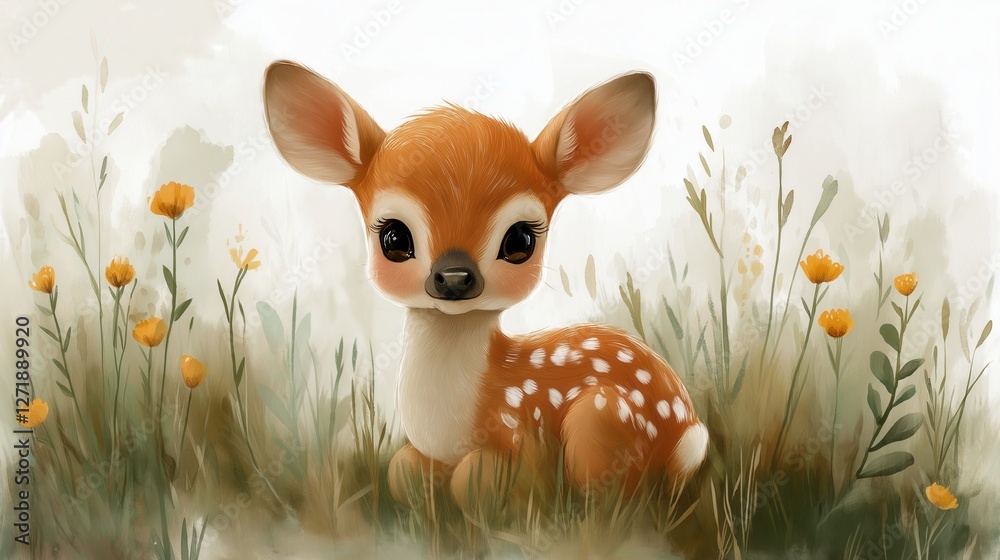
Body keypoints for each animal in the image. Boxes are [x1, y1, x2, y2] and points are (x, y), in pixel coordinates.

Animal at [262, 61, 709, 511]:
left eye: (520, 241)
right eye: (394, 238)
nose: (454, 277)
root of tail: (689, 433)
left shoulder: (520, 434)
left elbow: (478, 483)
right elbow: (400, 473)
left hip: (600, 420)